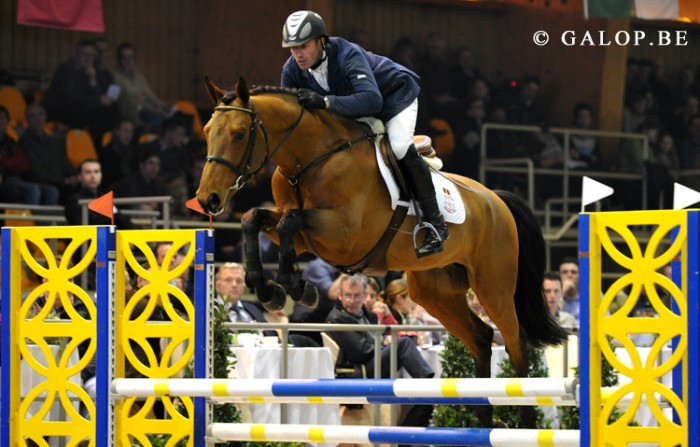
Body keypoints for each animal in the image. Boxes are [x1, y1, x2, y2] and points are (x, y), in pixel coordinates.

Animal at [196, 77, 569, 428]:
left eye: (239, 134)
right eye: (207, 133)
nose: (208, 199)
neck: (310, 159)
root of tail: (495, 199)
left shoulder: (345, 234)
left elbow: (290, 221)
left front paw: (295, 285)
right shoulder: (306, 238)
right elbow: (254, 218)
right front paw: (269, 289)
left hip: (494, 287)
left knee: (516, 342)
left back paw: (524, 422)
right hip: (435, 293)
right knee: (481, 338)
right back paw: (483, 419)